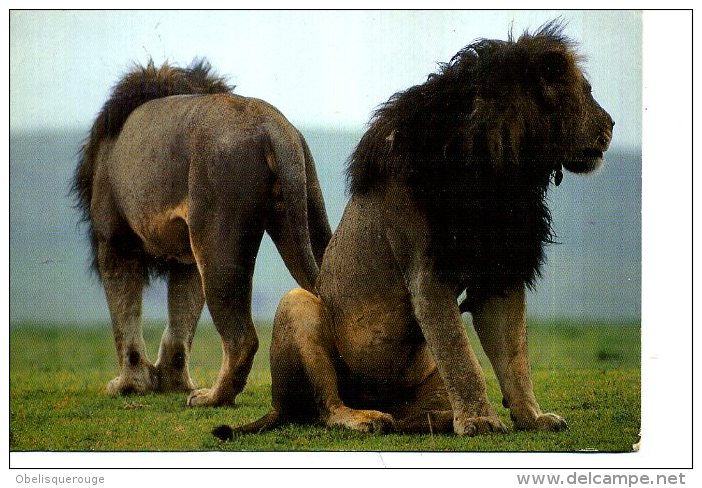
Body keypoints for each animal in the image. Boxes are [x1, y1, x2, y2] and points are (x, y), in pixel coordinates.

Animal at [214, 21, 616, 438]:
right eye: (588, 91)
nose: (612, 124)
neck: (502, 168)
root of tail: (276, 405)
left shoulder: (498, 271)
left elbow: (514, 356)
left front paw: (532, 418)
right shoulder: (427, 274)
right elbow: (462, 357)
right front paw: (480, 421)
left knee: (411, 410)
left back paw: (431, 419)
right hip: (299, 306)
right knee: (326, 406)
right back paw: (365, 418)